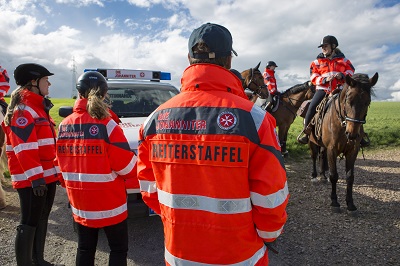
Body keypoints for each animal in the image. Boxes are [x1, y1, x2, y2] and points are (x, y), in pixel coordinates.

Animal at [310, 72, 378, 214]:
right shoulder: (332, 150)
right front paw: (334, 202)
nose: (351, 134)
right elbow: (334, 175)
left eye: (367, 102)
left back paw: (322, 176)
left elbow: (350, 177)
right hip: (312, 142)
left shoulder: (353, 151)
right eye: (348, 100)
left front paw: (350, 204)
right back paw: (314, 176)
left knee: (321, 156)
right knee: (314, 156)